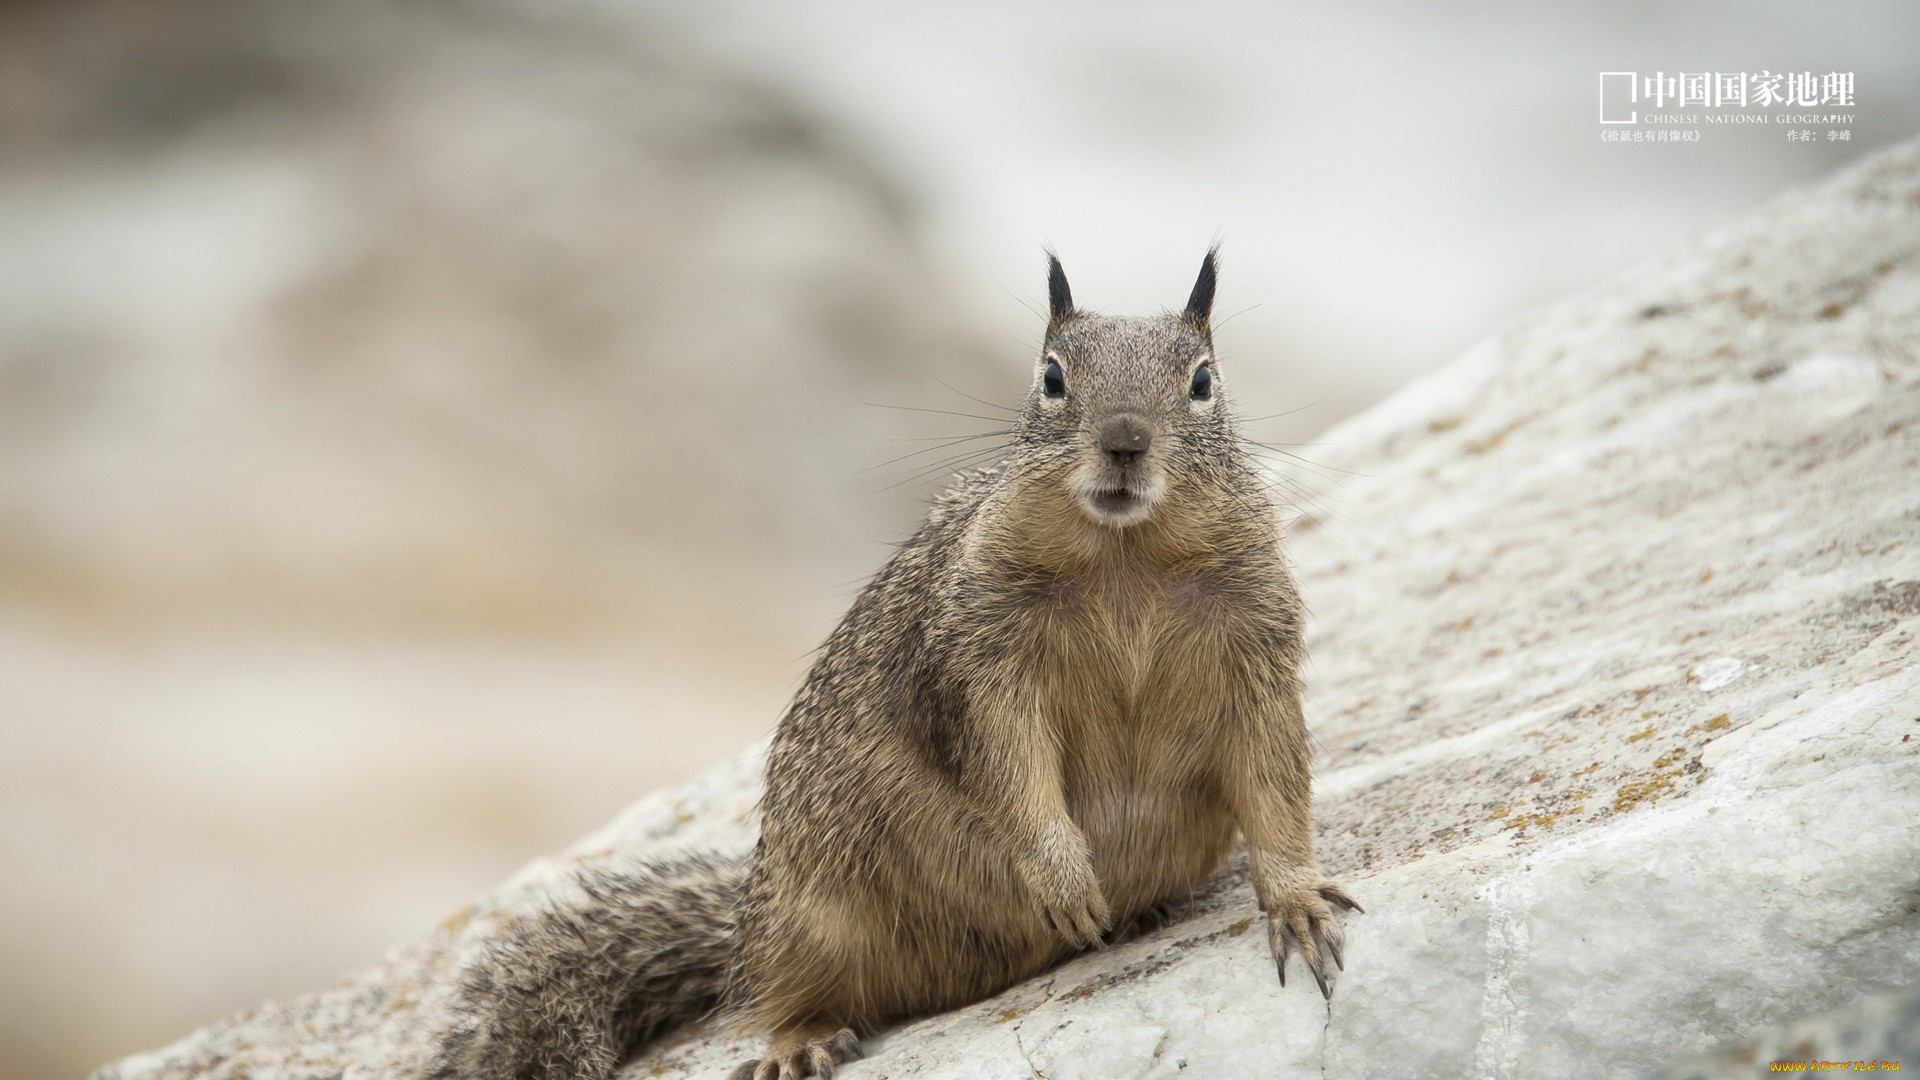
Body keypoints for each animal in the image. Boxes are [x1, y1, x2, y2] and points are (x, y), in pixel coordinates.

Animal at [435, 247, 1367, 1076]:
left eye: (1203, 380)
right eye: (1051, 377)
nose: (1126, 440)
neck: (1125, 562)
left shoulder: (1255, 649)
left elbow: (1274, 782)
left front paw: (1298, 903)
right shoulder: (976, 658)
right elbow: (1008, 766)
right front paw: (1065, 876)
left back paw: (1141, 913)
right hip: (813, 917)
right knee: (779, 996)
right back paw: (802, 1042)